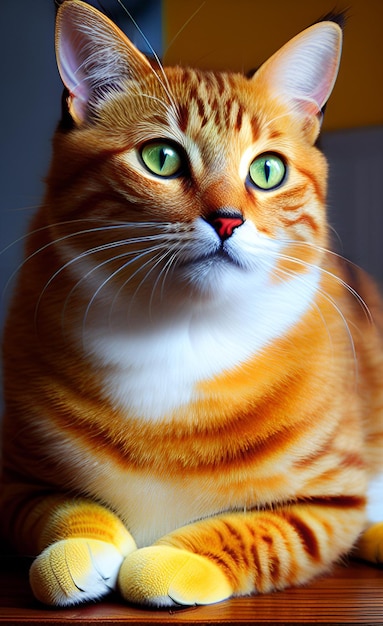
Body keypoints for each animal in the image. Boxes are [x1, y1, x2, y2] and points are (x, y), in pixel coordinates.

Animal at [0, 0, 383, 608]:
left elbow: (262, 530)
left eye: (268, 170)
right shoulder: (14, 481)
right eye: (161, 158)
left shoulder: (334, 500)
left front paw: (174, 559)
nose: (227, 220)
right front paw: (78, 548)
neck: (182, 331)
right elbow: (59, 508)